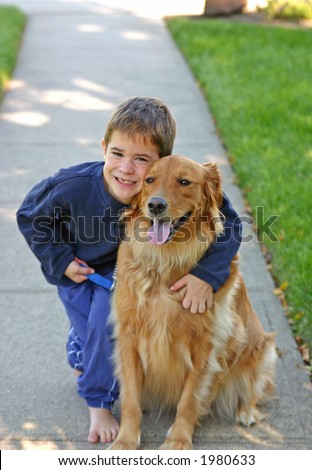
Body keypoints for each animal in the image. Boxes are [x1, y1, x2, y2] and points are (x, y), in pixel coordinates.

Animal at [109, 156, 276, 450]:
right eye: (149, 179)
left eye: (184, 181)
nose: (155, 205)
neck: (167, 261)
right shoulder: (128, 335)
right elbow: (130, 396)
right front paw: (126, 440)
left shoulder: (206, 343)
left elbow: (189, 399)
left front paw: (178, 440)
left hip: (261, 347)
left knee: (254, 386)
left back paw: (247, 410)